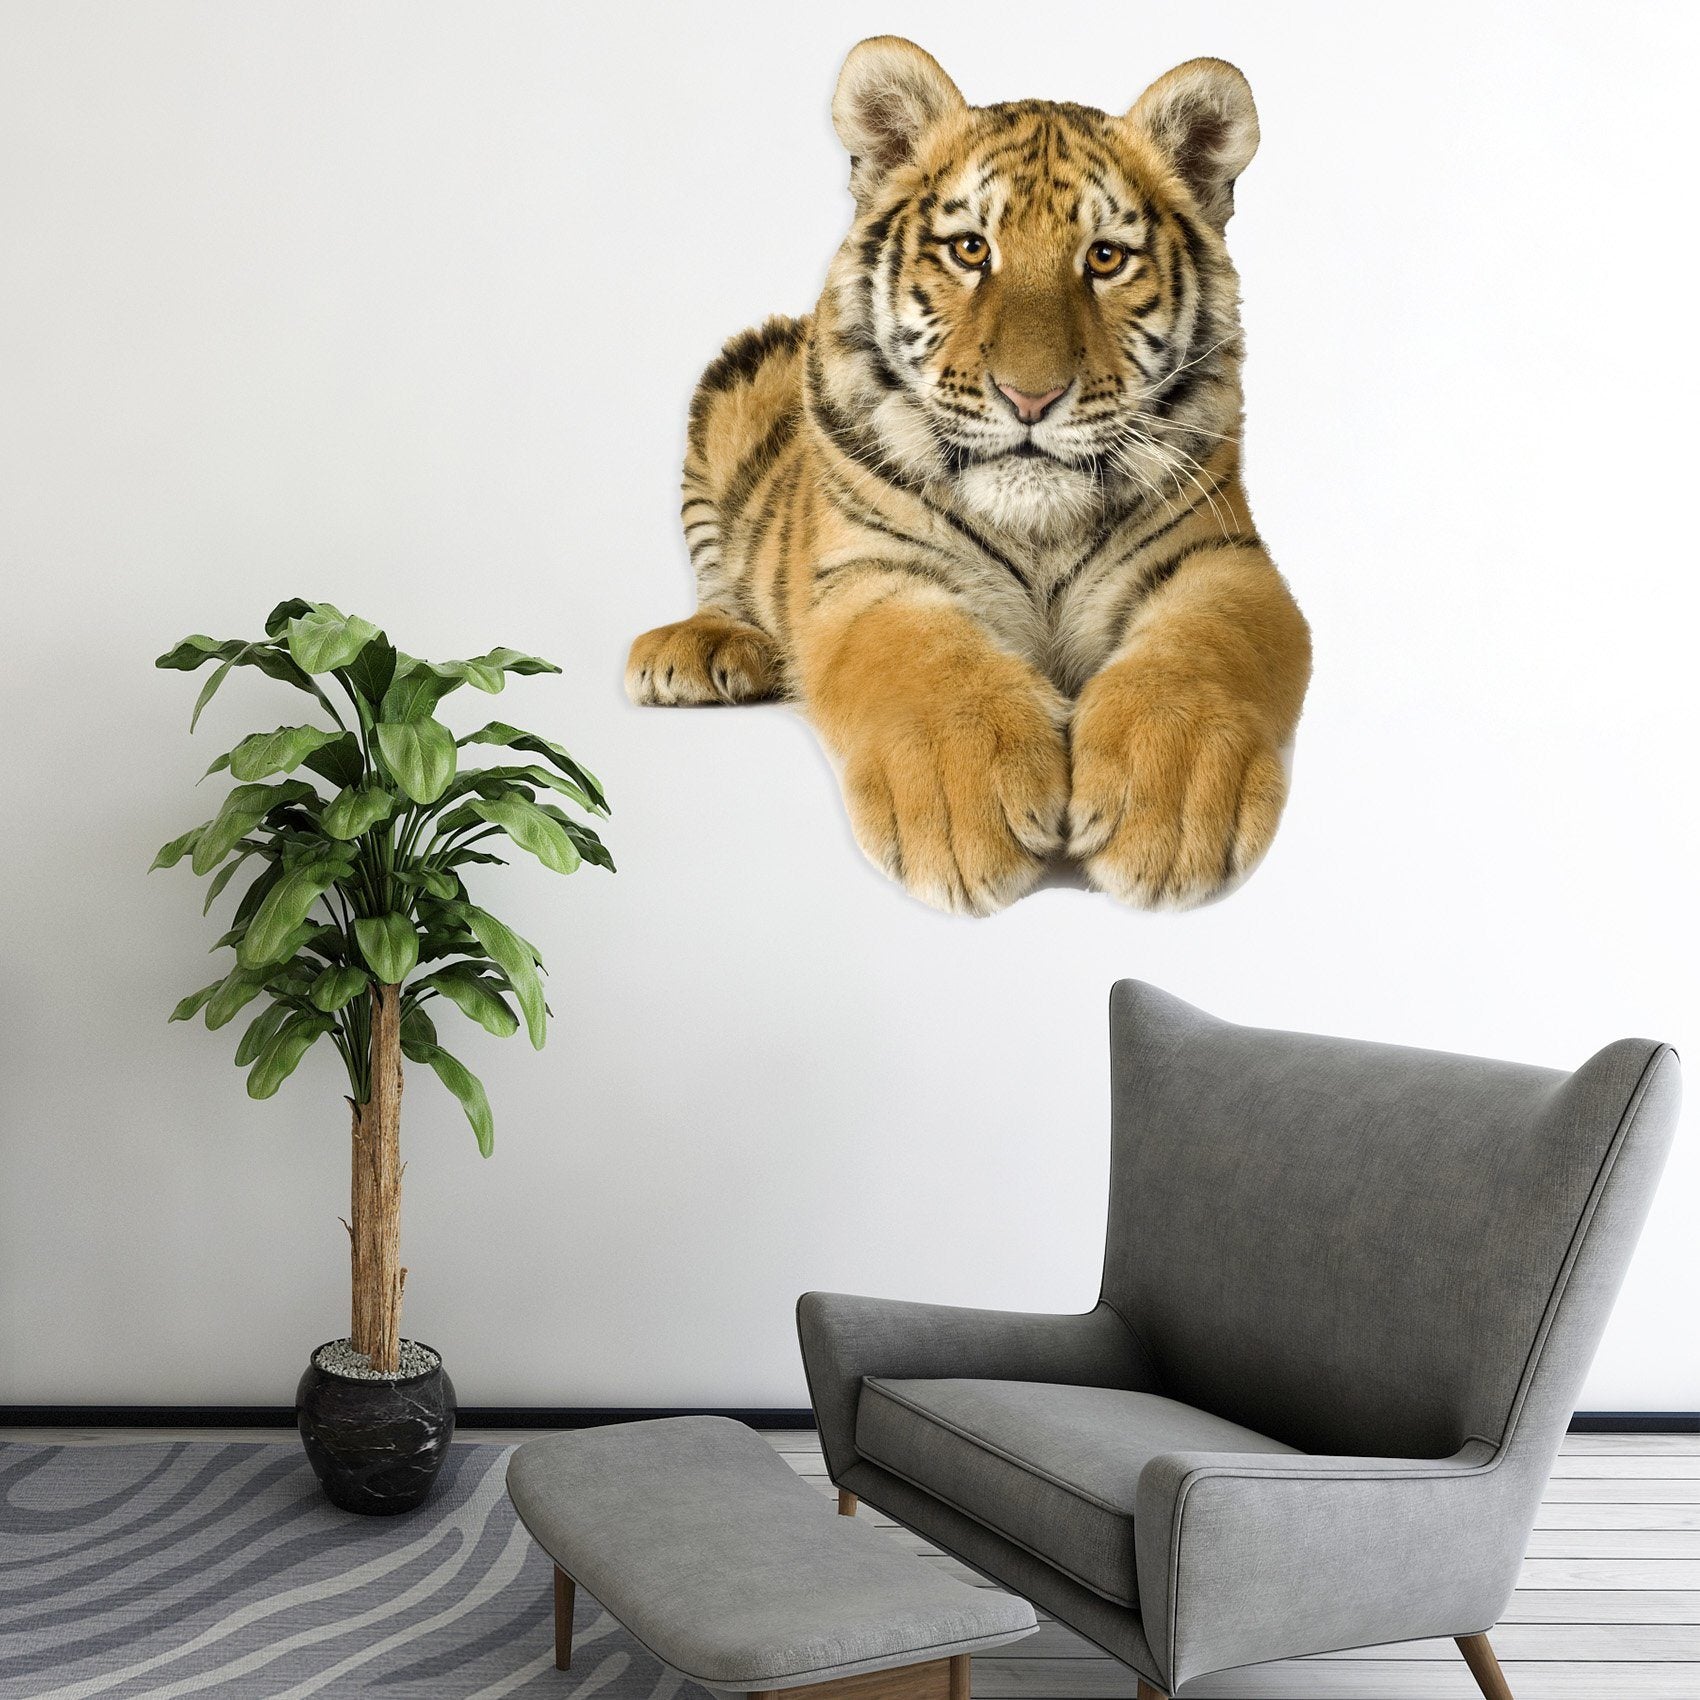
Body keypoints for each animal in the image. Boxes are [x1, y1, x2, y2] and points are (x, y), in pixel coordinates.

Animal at [627, 36, 1312, 916]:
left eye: (1105, 258)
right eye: (971, 249)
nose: (1031, 397)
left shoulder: (1221, 560)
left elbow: (1198, 653)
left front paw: (1170, 806)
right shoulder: (870, 573)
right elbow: (926, 663)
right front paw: (965, 808)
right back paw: (702, 651)